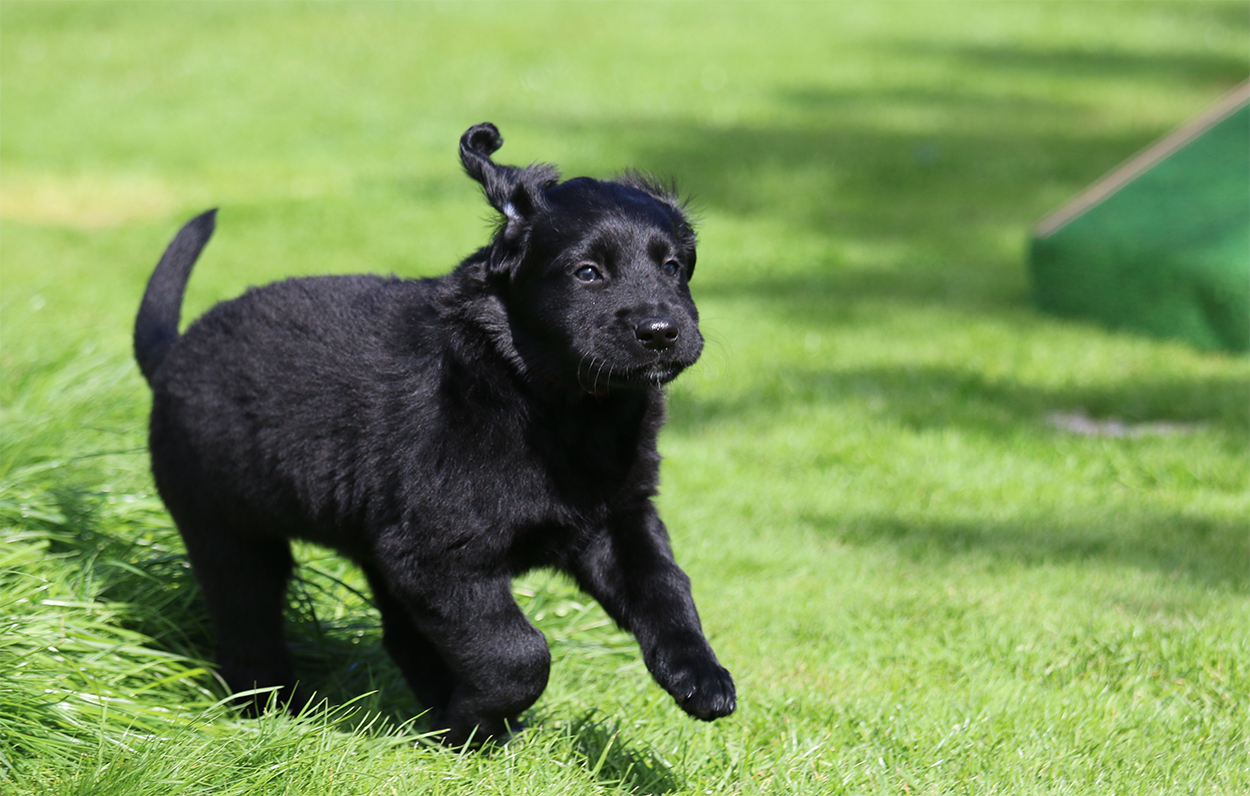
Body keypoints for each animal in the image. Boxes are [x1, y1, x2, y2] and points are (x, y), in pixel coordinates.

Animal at [133, 123, 735, 746]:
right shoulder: (437, 556)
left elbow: (666, 591)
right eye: (588, 272)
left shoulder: (618, 518)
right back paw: (275, 711)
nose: (661, 331)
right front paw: (474, 723)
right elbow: (518, 653)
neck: (549, 399)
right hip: (227, 531)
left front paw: (701, 676)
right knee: (247, 625)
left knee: (401, 636)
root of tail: (172, 353)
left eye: (673, 267)